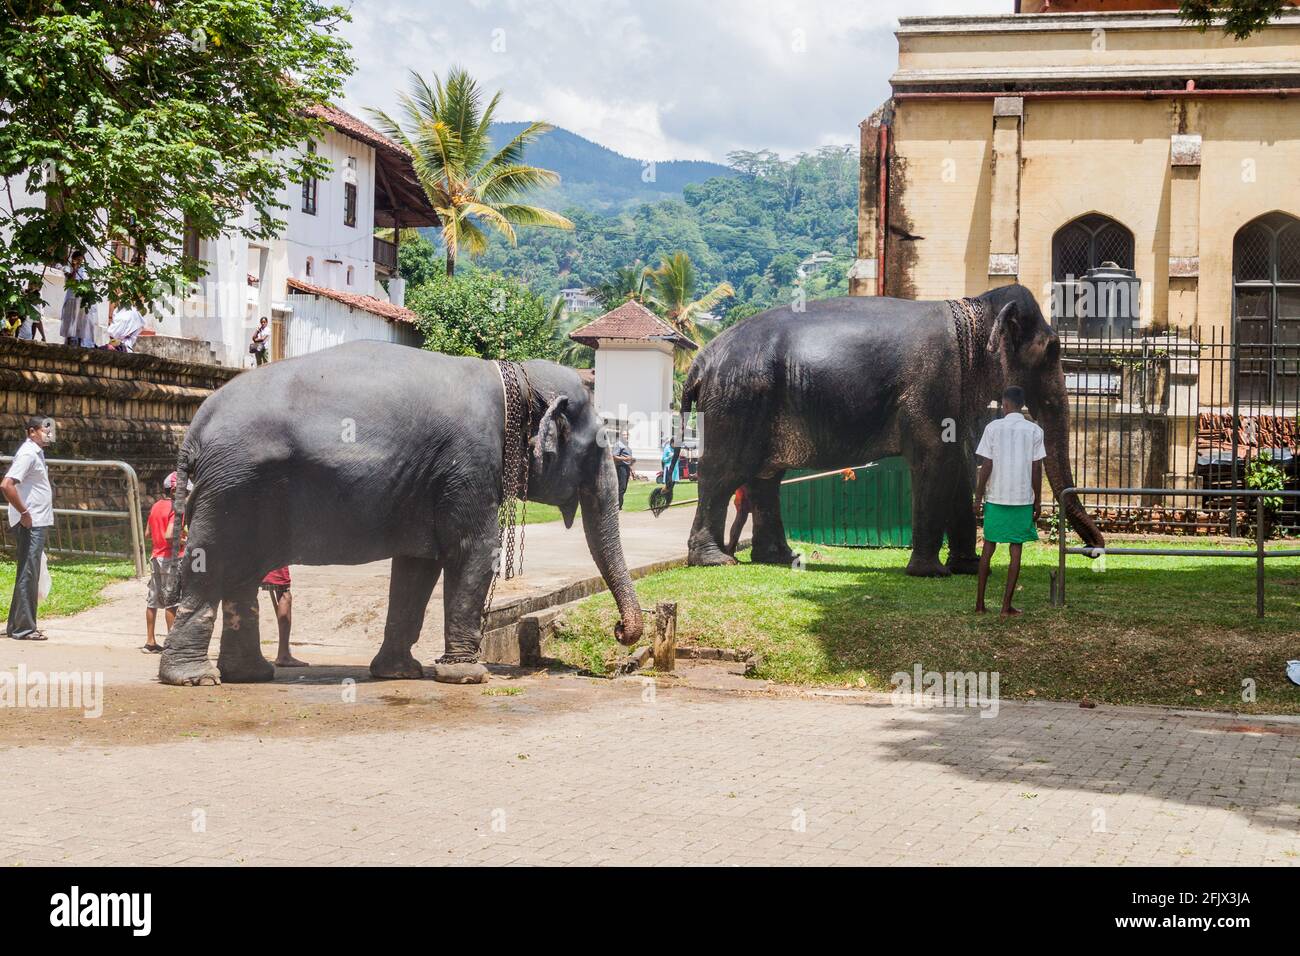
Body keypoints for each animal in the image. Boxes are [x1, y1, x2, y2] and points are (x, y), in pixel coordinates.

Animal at [157, 341, 642, 687]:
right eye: (598, 446)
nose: (621, 633)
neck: (513, 377)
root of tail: (196, 427)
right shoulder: (470, 462)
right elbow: (472, 550)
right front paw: (466, 675)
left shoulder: (429, 484)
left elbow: (417, 566)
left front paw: (400, 673)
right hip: (232, 488)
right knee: (214, 565)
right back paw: (195, 679)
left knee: (242, 575)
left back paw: (249, 675)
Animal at [663, 283, 1106, 575]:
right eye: (1052, 349)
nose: (1095, 550)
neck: (974, 308)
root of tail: (700, 362)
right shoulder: (933, 382)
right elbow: (934, 461)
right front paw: (930, 573)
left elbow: (959, 463)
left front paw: (966, 569)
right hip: (737, 402)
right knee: (723, 474)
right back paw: (716, 560)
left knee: (764, 477)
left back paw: (778, 559)